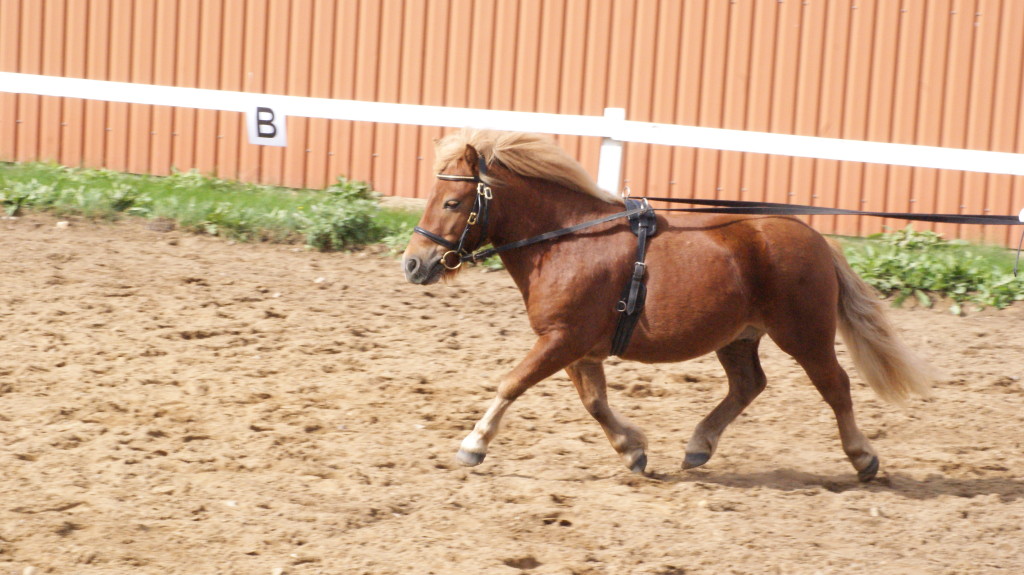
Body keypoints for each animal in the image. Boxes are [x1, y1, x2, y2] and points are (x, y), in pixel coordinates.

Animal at [401, 128, 937, 478]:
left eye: (452, 203)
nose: (413, 263)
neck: (565, 241)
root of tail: (814, 238)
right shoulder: (575, 347)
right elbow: (595, 402)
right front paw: (632, 451)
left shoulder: (562, 340)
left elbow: (511, 383)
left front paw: (473, 445)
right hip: (738, 337)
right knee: (749, 385)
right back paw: (699, 447)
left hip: (804, 335)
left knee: (836, 386)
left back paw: (862, 457)